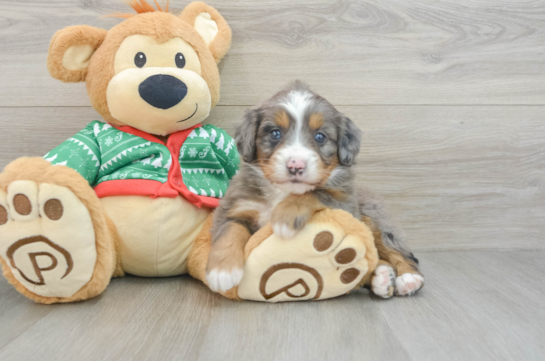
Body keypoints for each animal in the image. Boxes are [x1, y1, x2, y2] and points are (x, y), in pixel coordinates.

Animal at [206, 82, 422, 298]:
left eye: (320, 137)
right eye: (275, 133)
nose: (296, 166)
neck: (281, 193)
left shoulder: (345, 204)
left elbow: (315, 193)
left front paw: (285, 217)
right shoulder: (237, 204)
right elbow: (230, 229)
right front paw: (222, 271)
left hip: (373, 216)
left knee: (393, 248)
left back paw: (408, 278)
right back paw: (382, 277)